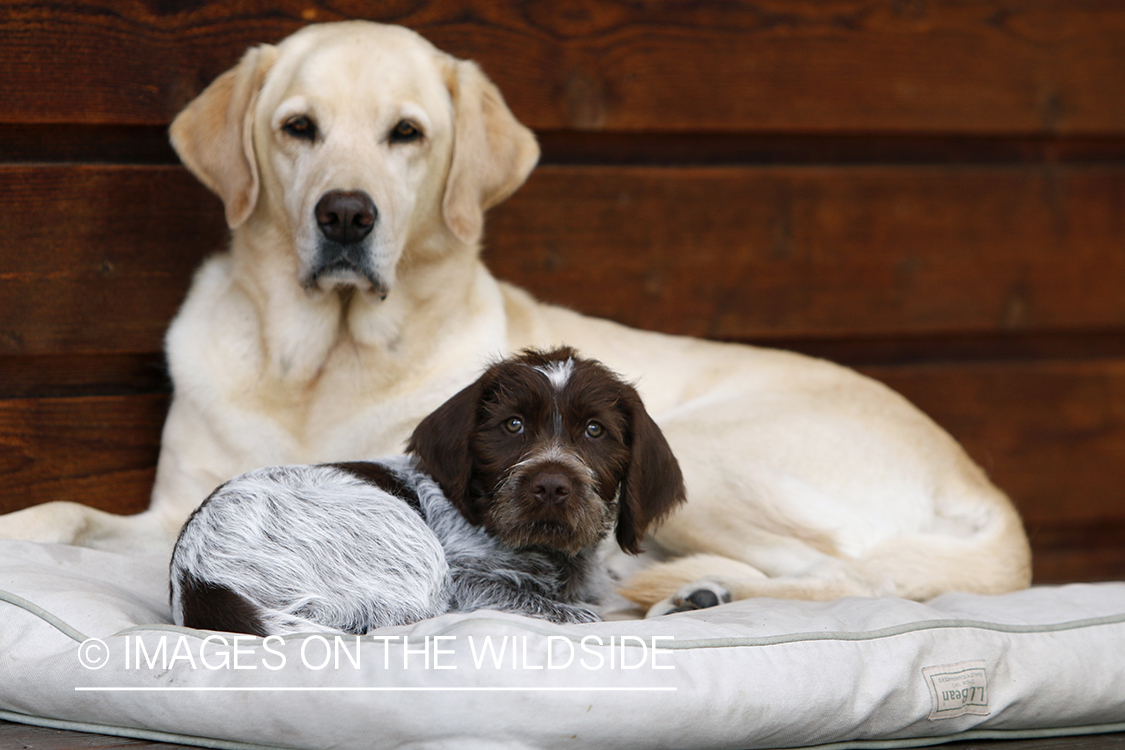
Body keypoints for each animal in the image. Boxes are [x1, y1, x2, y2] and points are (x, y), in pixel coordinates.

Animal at [169, 348, 679, 634]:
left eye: (595, 431)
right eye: (513, 425)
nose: (551, 485)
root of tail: (197, 580)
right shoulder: (466, 583)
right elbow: (560, 608)